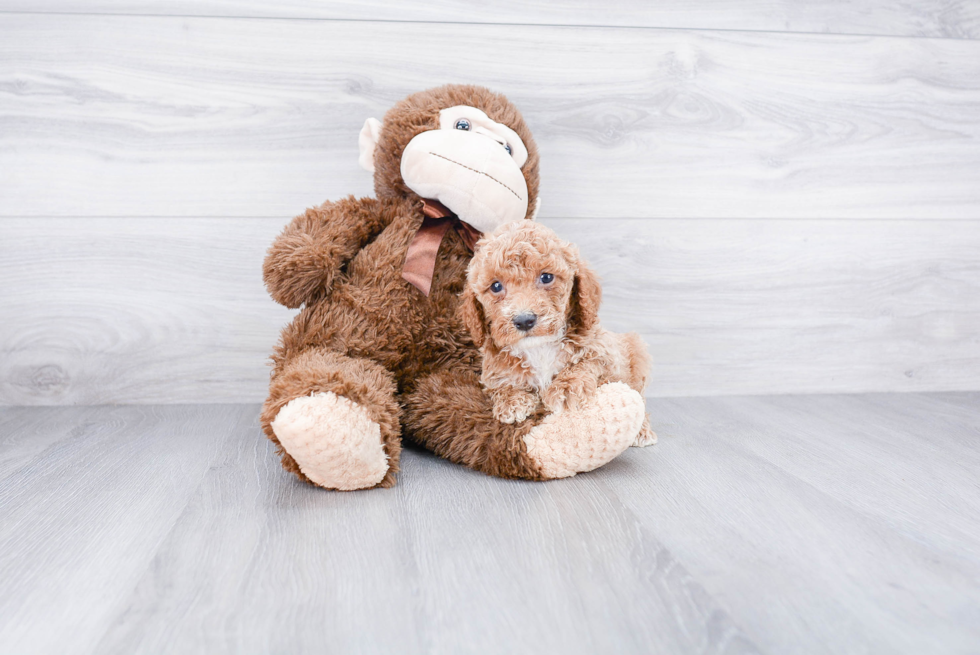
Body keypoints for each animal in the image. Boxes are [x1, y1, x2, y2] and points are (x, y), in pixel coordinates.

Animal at [462, 223, 660, 448]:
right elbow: (500, 383)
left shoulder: (604, 351)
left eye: (546, 277)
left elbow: (587, 361)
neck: (539, 347)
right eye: (496, 286)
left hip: (637, 351)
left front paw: (566, 387)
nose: (524, 320)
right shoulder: (493, 369)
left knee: (638, 396)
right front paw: (511, 400)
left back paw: (642, 430)